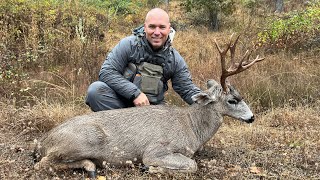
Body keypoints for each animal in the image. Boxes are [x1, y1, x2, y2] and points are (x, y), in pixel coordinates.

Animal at [33, 34, 264, 179]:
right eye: (233, 100)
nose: (252, 117)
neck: (192, 127)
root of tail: (42, 142)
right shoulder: (155, 150)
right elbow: (192, 165)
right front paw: (152, 170)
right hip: (81, 141)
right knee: (41, 164)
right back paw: (90, 166)